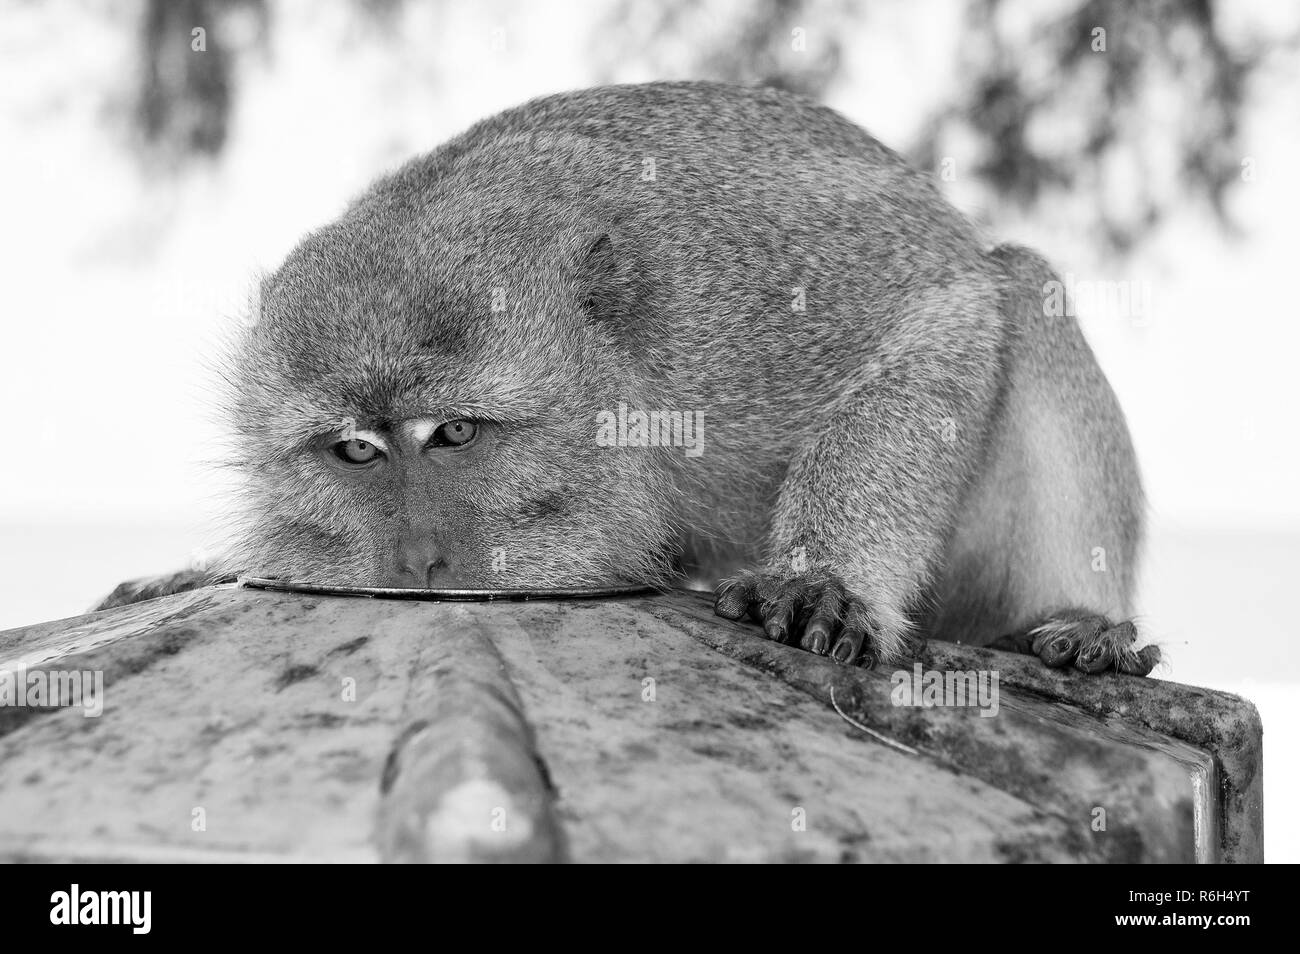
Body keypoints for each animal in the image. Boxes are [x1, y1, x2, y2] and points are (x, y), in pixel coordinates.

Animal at [98, 83, 1159, 681]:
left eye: (455, 434)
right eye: (357, 450)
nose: (413, 559)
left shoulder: (741, 308)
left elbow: (942, 309)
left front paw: (822, 577)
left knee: (1018, 285)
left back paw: (1085, 620)